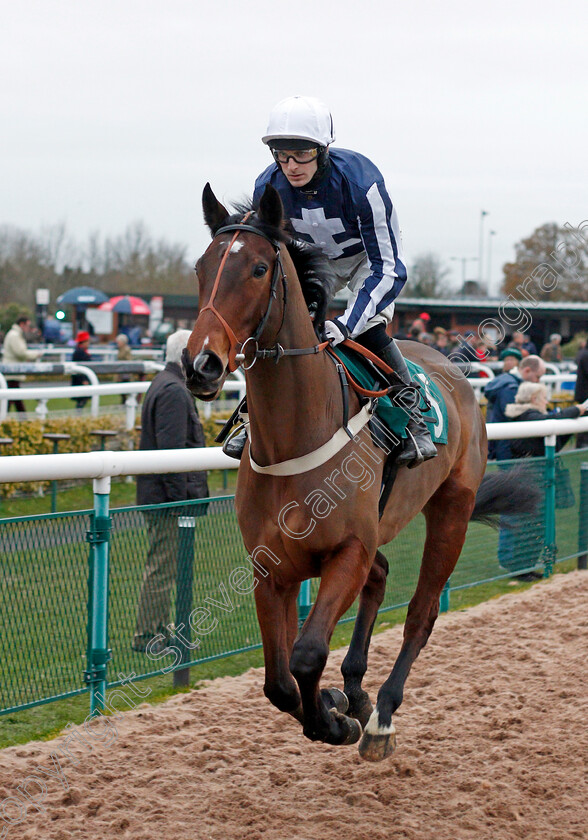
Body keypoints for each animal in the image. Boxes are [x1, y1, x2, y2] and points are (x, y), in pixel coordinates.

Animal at [185, 184, 524, 760]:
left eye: (258, 268)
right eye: (201, 267)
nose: (200, 364)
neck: (296, 436)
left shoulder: (347, 551)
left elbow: (305, 654)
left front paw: (335, 721)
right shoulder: (270, 567)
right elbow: (279, 681)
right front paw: (335, 705)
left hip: (452, 510)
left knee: (421, 613)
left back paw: (382, 714)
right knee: (382, 575)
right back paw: (358, 692)